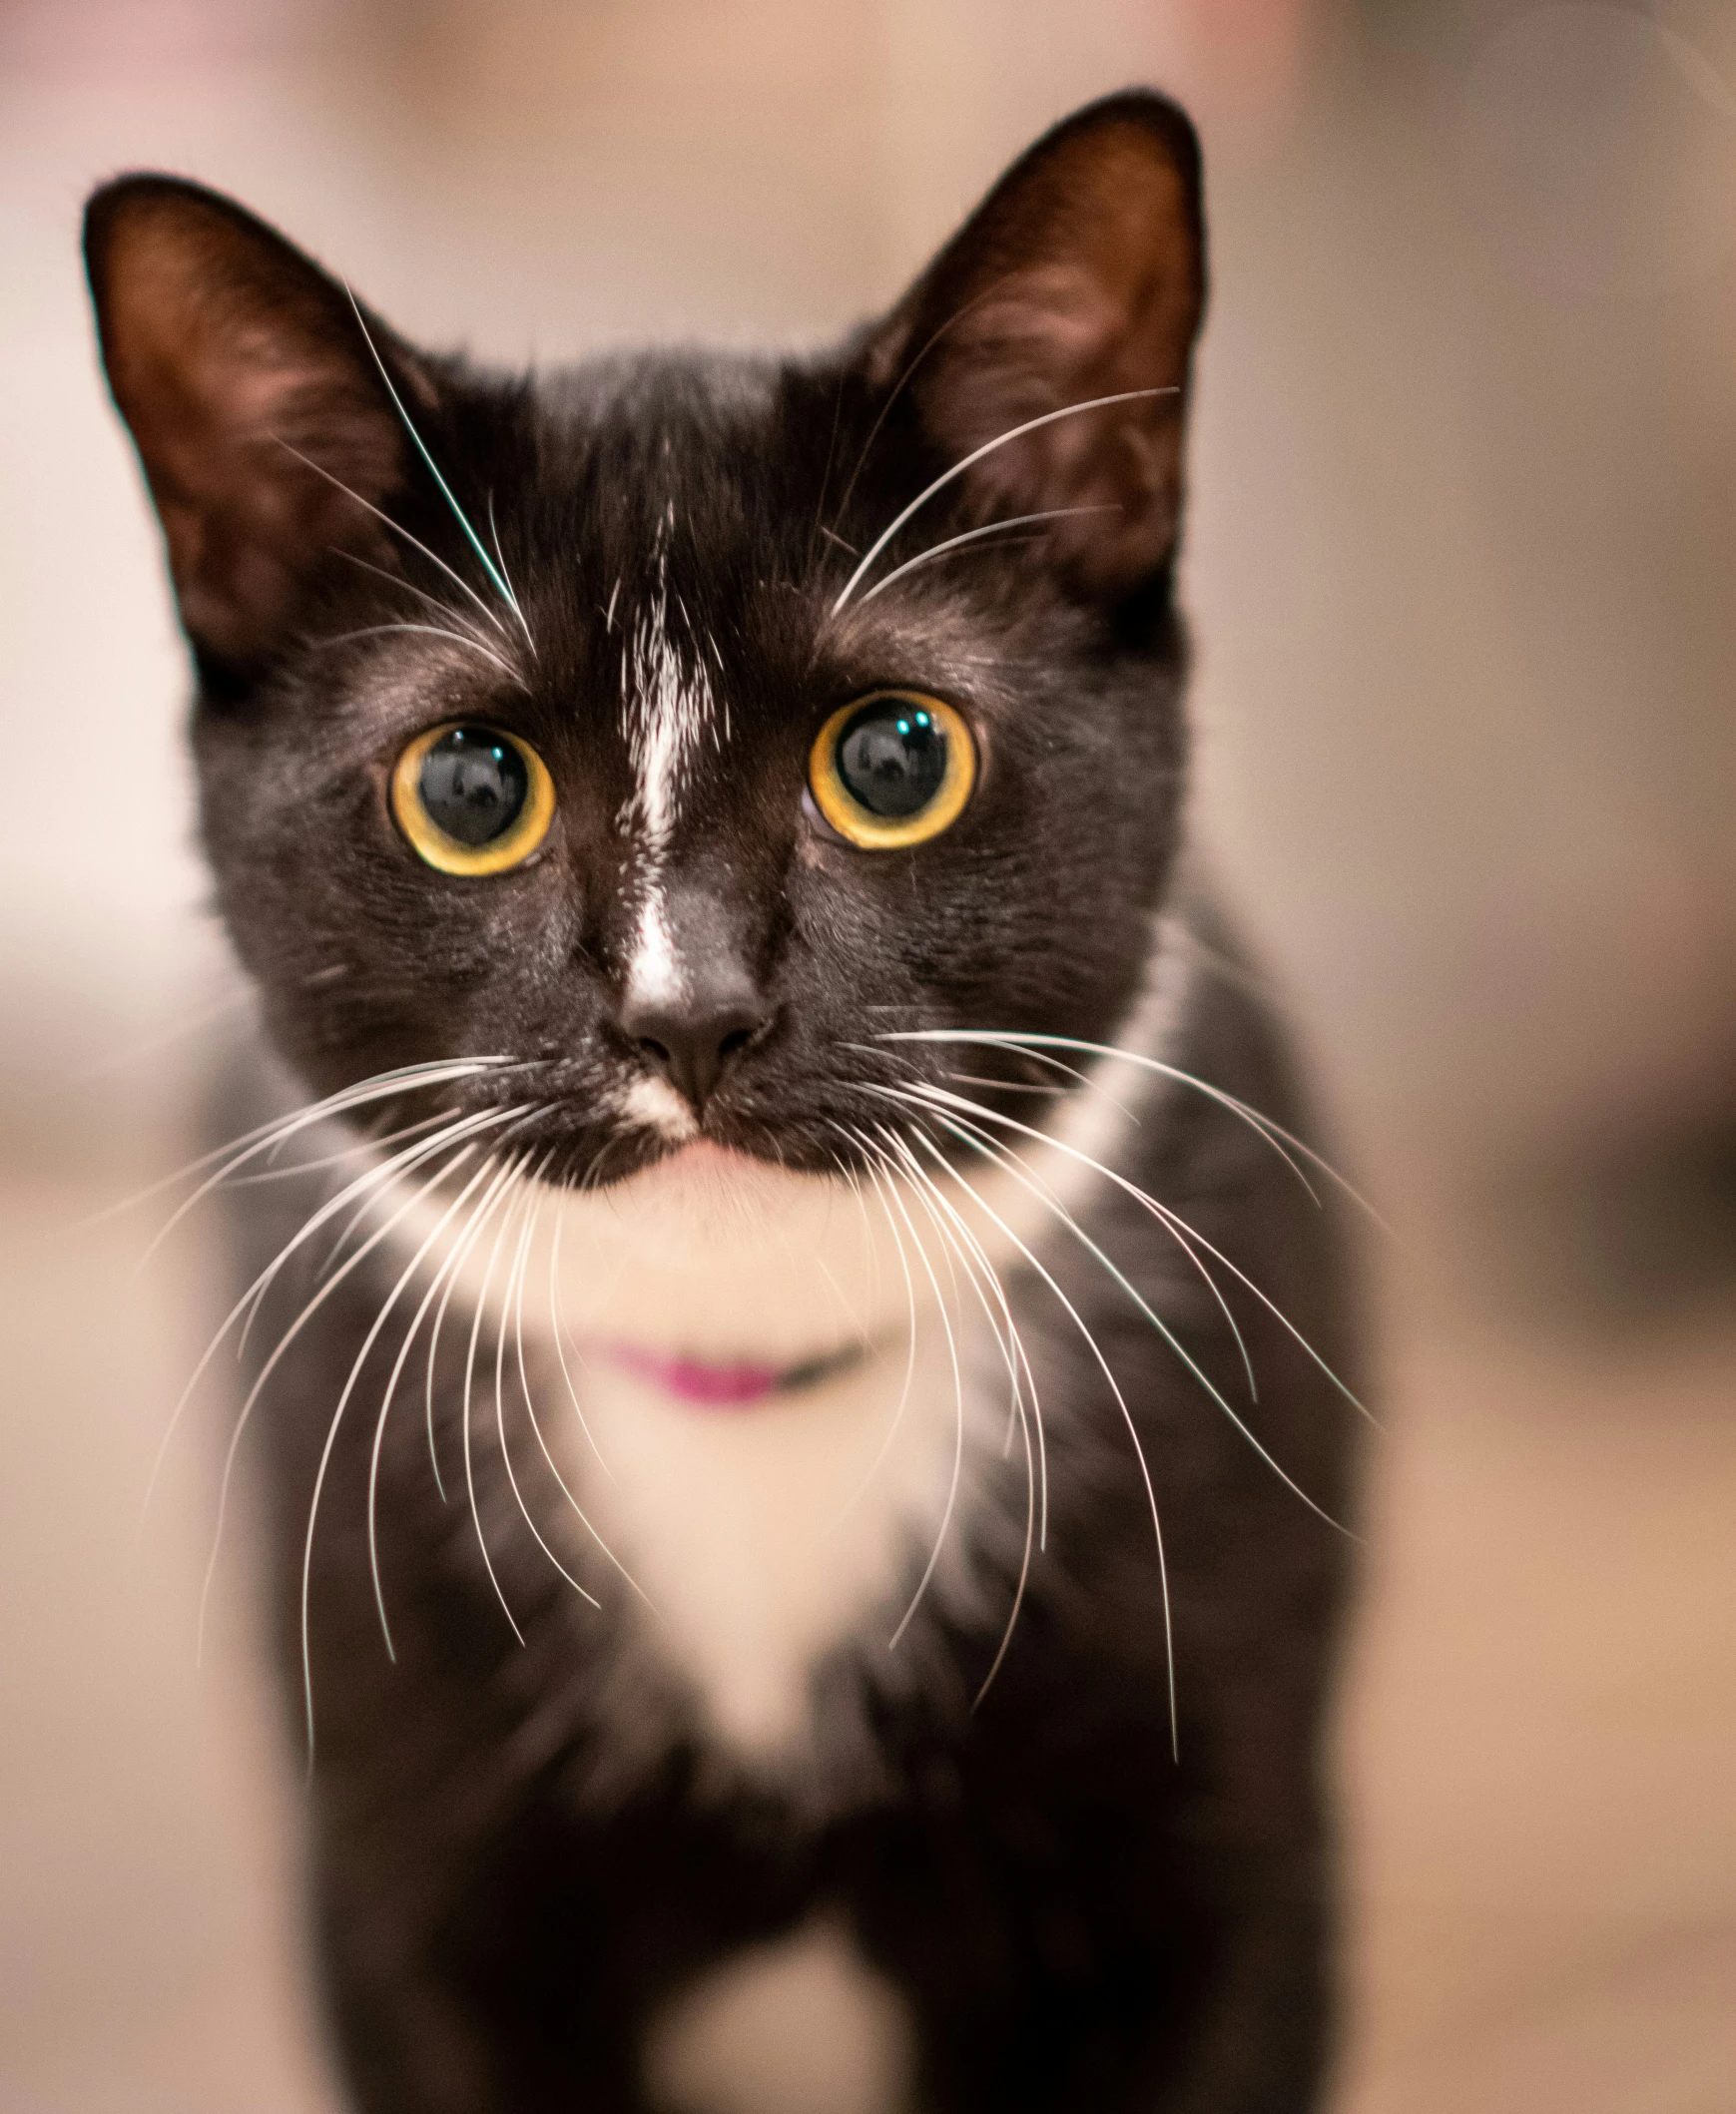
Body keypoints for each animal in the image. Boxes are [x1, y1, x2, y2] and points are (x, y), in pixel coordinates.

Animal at [88, 86, 1362, 2114]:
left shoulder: (1222, 1866)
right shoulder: (403, 1874)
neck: (751, 1387)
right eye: (470, 788)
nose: (688, 1013)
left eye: (897, 758)